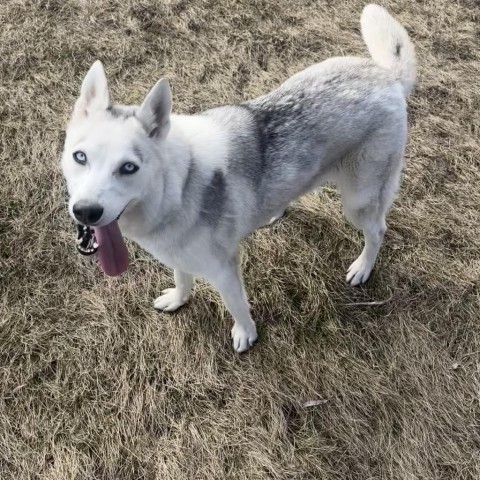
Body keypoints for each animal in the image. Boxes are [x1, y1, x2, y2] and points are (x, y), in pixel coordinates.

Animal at [62, 4, 416, 352]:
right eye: (80, 157)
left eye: (128, 168)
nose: (86, 212)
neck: (180, 185)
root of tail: (386, 76)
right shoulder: (179, 253)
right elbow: (182, 278)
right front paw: (178, 299)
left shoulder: (223, 268)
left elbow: (236, 305)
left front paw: (245, 334)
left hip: (358, 202)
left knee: (377, 230)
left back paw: (363, 267)